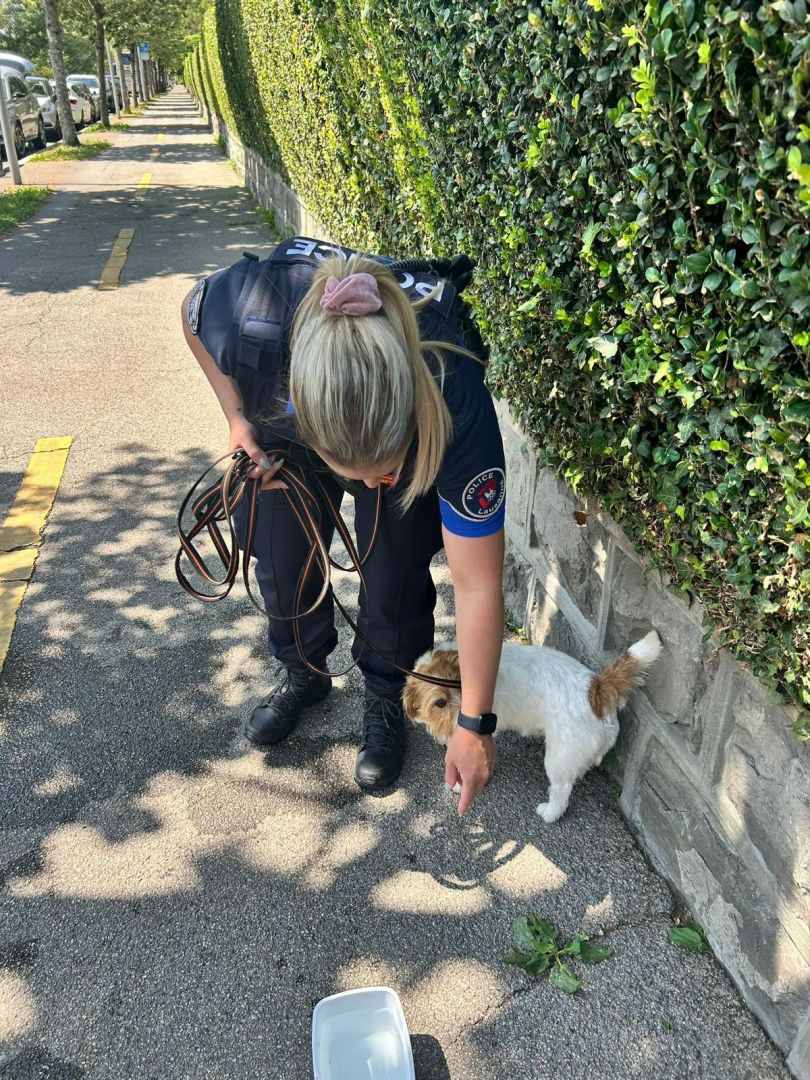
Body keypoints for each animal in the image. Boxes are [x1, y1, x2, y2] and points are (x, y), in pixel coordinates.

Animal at [403, 630, 660, 820]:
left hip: (558, 758)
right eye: (440, 702)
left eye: (465, 689)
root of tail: (596, 687)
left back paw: (550, 812)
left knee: (562, 790)